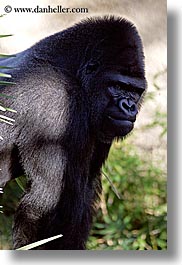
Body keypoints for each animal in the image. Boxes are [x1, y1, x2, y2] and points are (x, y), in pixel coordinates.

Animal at [0, 17, 146, 250]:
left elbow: (82, 195)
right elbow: (46, 204)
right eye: (117, 85)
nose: (129, 106)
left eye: (135, 91)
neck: (70, 68)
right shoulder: (56, 103)